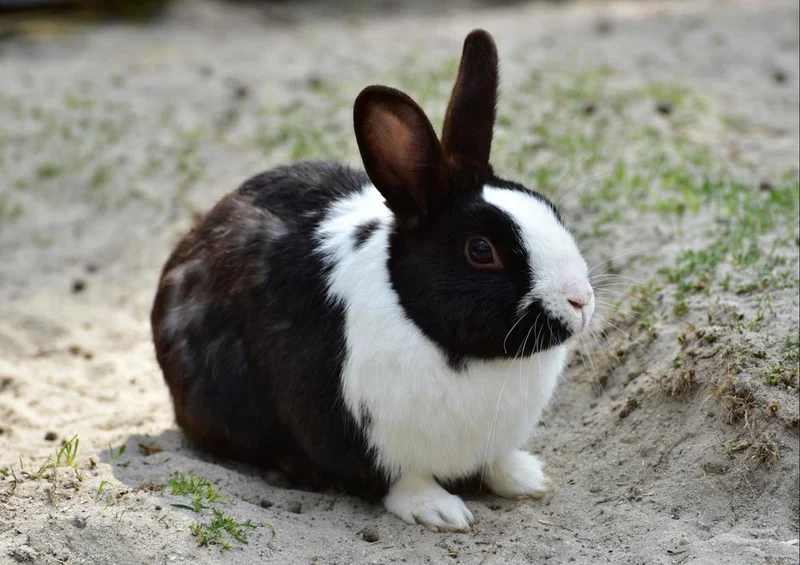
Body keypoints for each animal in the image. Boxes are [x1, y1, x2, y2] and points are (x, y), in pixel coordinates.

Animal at [151, 29, 594, 532]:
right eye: (481, 250)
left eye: (549, 208)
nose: (580, 301)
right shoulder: (354, 433)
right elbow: (399, 480)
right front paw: (441, 511)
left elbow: (496, 461)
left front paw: (526, 478)